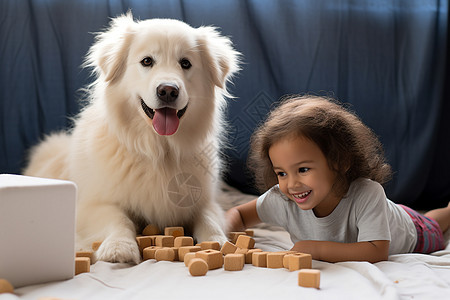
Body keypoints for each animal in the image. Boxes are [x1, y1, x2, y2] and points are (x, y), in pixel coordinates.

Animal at [23, 12, 243, 264]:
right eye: (147, 61)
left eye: (185, 63)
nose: (168, 90)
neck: (158, 149)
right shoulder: (93, 205)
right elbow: (119, 219)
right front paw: (119, 246)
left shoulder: (205, 201)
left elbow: (209, 219)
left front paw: (219, 243)